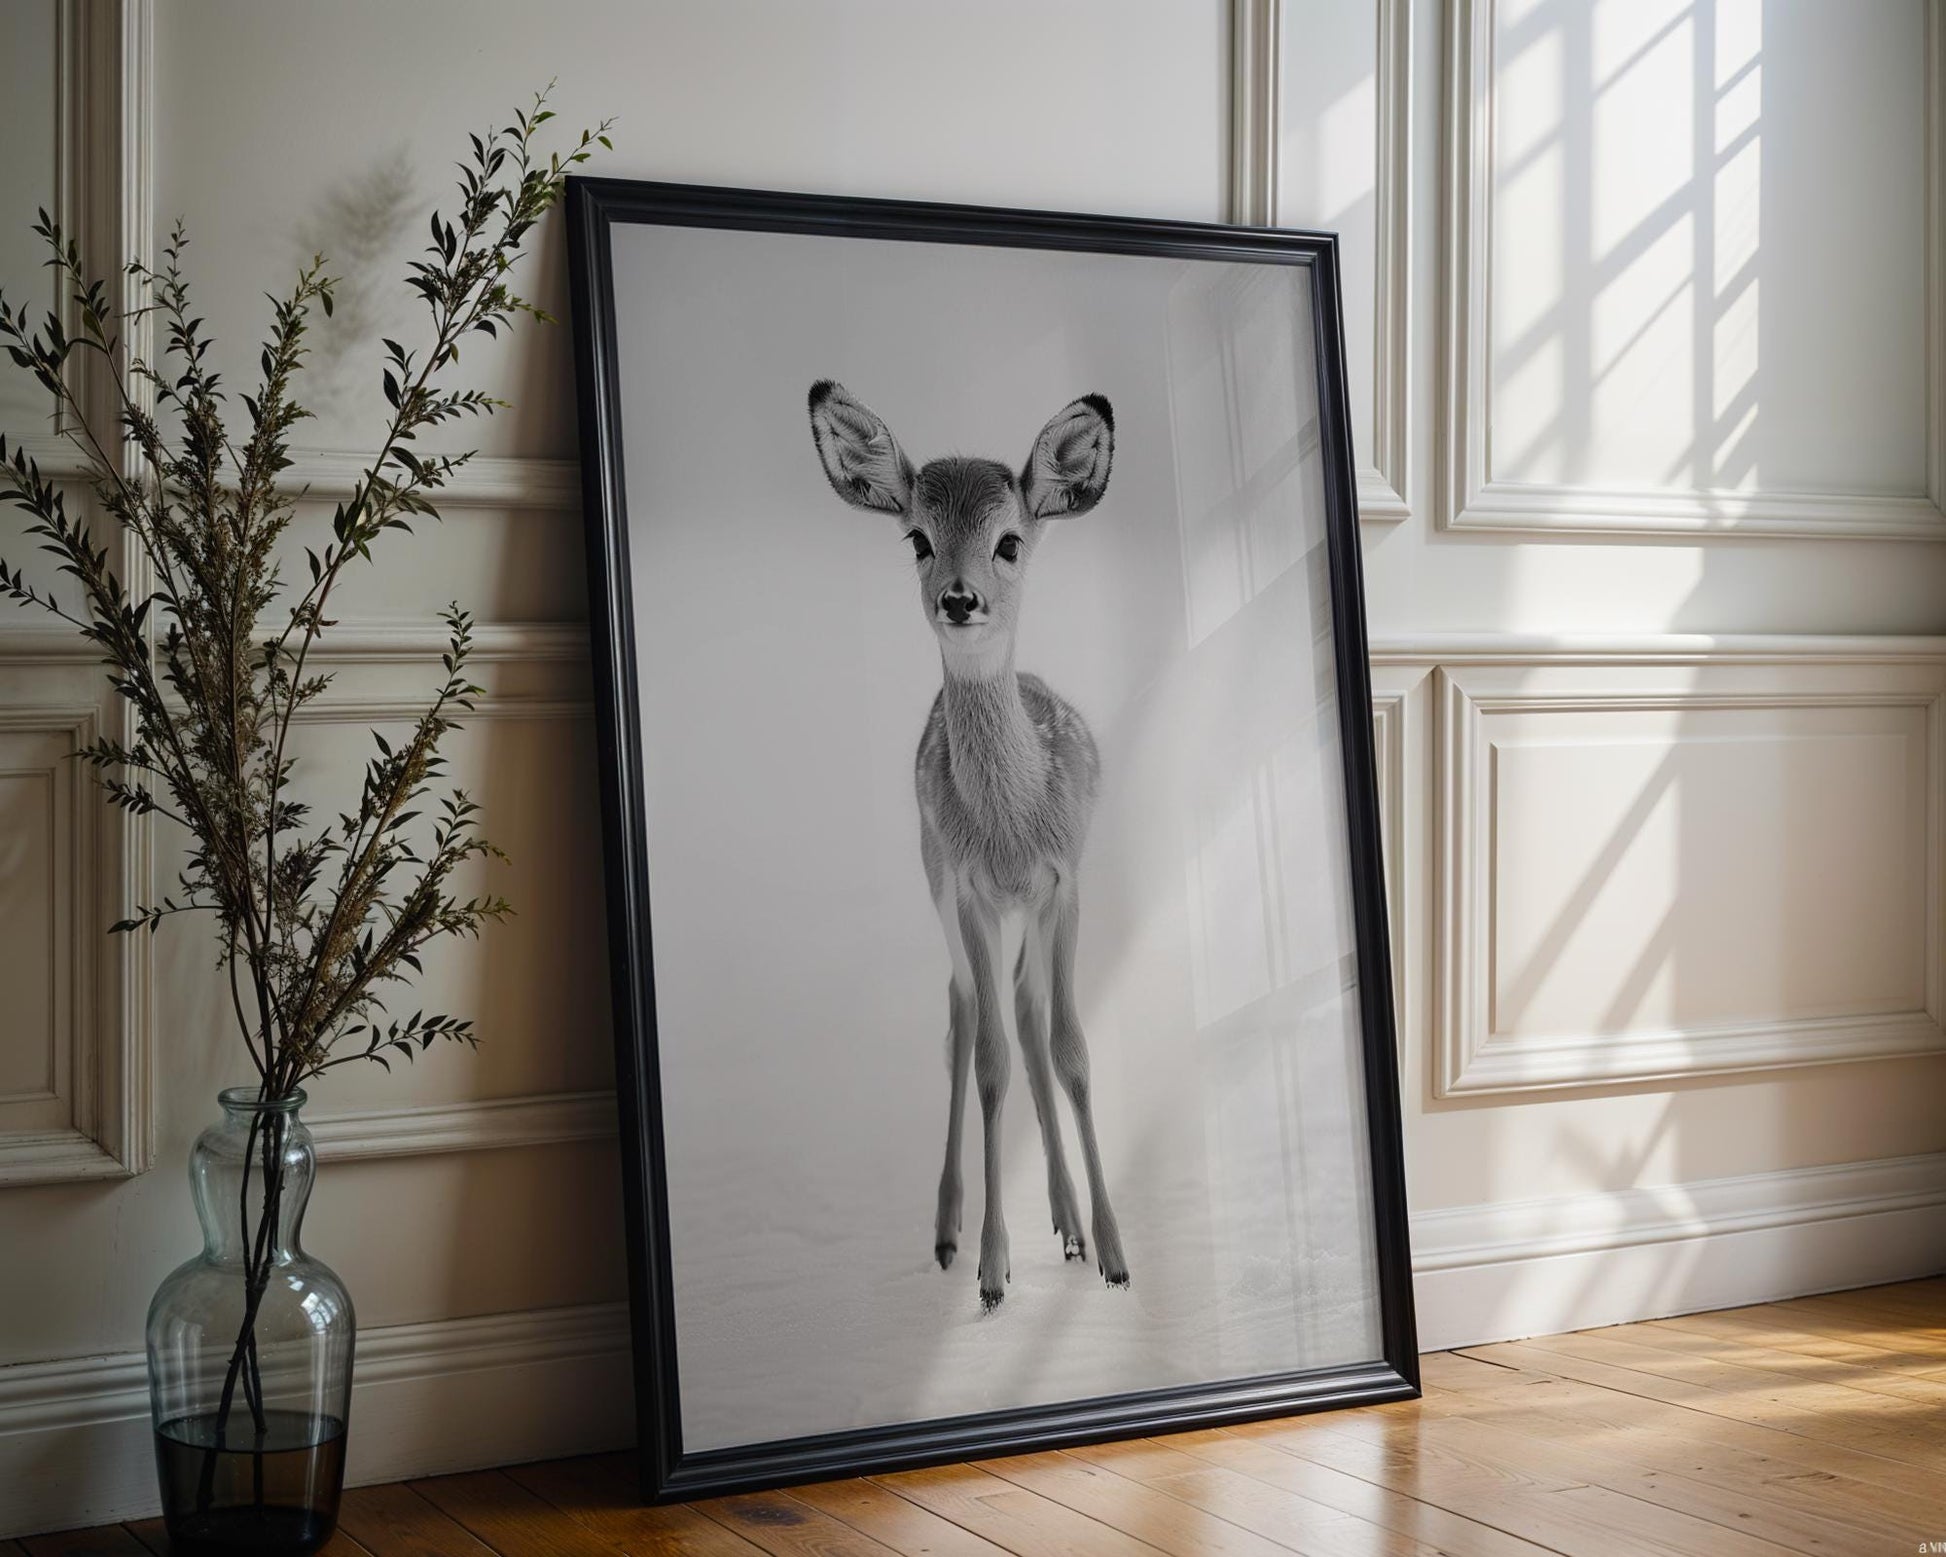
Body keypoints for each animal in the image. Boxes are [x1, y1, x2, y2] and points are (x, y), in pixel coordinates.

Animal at [807, 379, 1130, 1312]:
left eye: (1009, 541)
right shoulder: (974, 888)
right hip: (933, 878)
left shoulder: (1064, 881)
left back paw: (1067, 1220)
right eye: (918, 536)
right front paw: (993, 1268)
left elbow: (1072, 1049)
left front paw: (1115, 1251)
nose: (960, 598)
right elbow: (987, 1059)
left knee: (1022, 1007)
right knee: (962, 1012)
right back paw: (950, 1229)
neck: (1013, 822)